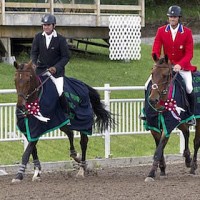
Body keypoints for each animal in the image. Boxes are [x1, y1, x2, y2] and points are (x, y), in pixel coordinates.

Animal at [144, 54, 197, 182]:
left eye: (165, 75)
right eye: (152, 73)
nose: (153, 100)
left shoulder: (168, 125)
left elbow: (158, 150)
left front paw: (151, 173)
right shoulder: (153, 126)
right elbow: (159, 147)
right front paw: (162, 169)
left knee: (196, 141)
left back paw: (193, 167)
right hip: (181, 120)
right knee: (186, 132)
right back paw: (187, 158)